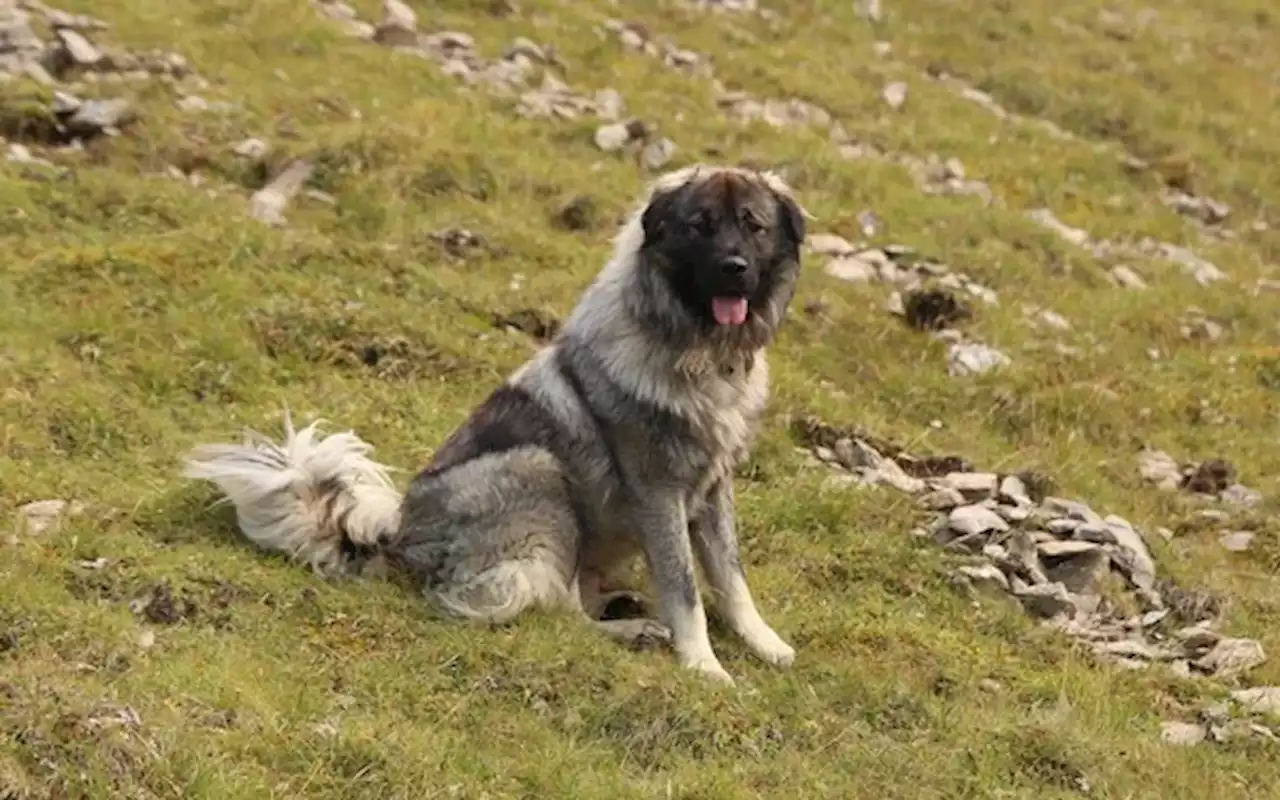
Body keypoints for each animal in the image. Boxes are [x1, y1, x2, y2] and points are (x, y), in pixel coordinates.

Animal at [185, 162, 803, 680]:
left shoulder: (713, 486)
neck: (700, 353)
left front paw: (764, 644)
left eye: (753, 226)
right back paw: (634, 628)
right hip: (540, 472)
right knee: (557, 609)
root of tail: (397, 542)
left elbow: (730, 577)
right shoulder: (658, 490)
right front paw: (704, 666)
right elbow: (685, 588)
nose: (734, 269)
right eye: (700, 226)